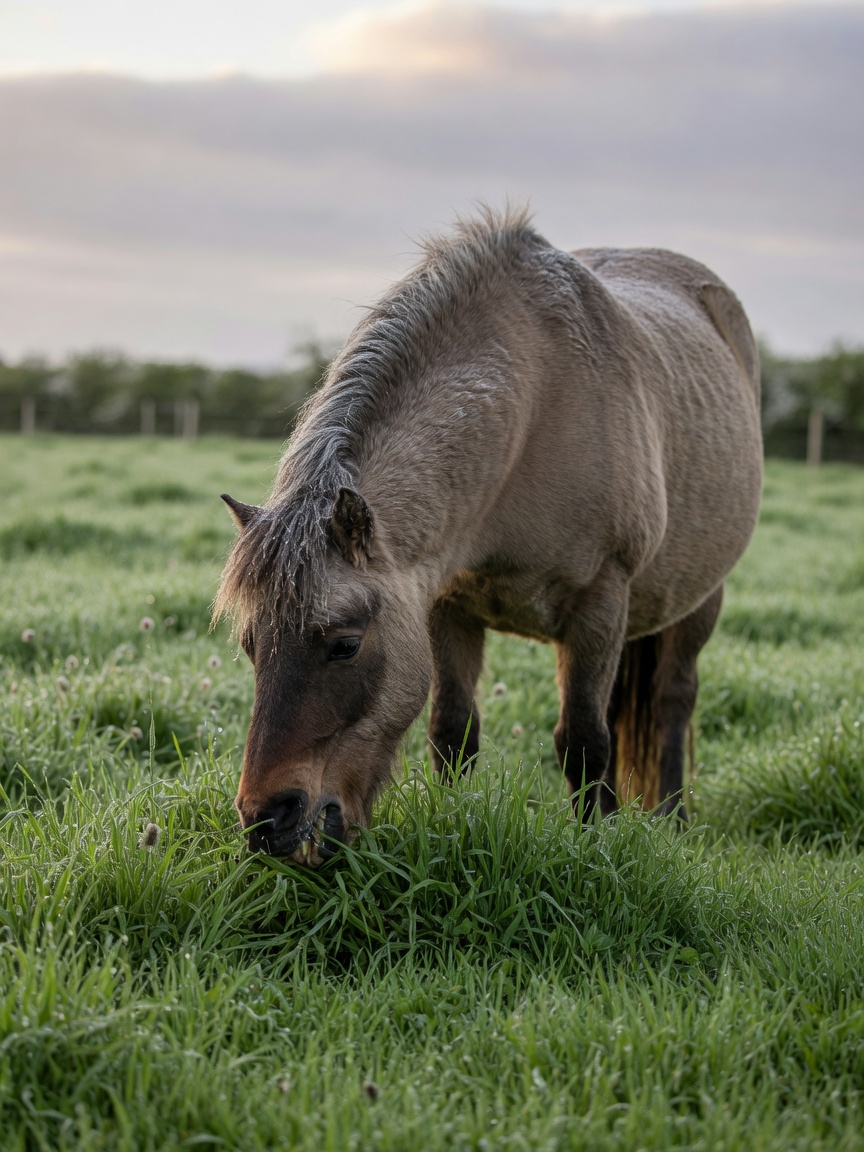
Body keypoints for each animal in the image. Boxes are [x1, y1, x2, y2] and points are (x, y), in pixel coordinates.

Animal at [214, 207, 762, 865]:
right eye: (251, 646)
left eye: (345, 644)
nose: (267, 820)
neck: (535, 406)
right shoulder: (446, 606)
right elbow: (454, 732)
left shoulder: (600, 599)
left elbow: (583, 741)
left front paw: (595, 849)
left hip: (699, 599)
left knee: (670, 702)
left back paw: (674, 819)